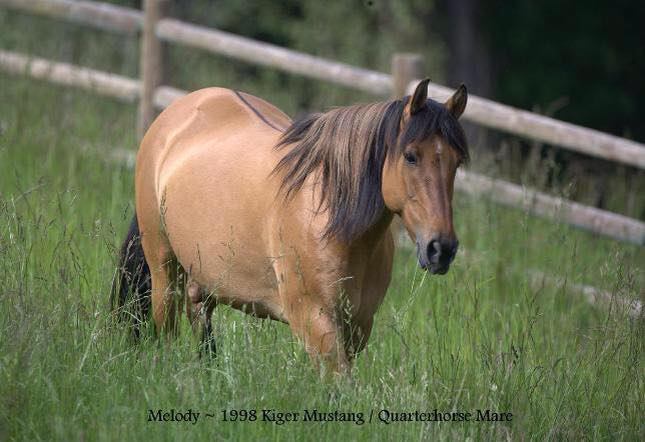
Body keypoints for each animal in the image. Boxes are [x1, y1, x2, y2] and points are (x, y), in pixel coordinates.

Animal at [112, 78, 468, 372]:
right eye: (410, 155)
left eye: (456, 163)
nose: (441, 249)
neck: (333, 222)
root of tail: (175, 114)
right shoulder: (315, 321)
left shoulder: (358, 326)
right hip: (163, 268)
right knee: (167, 330)